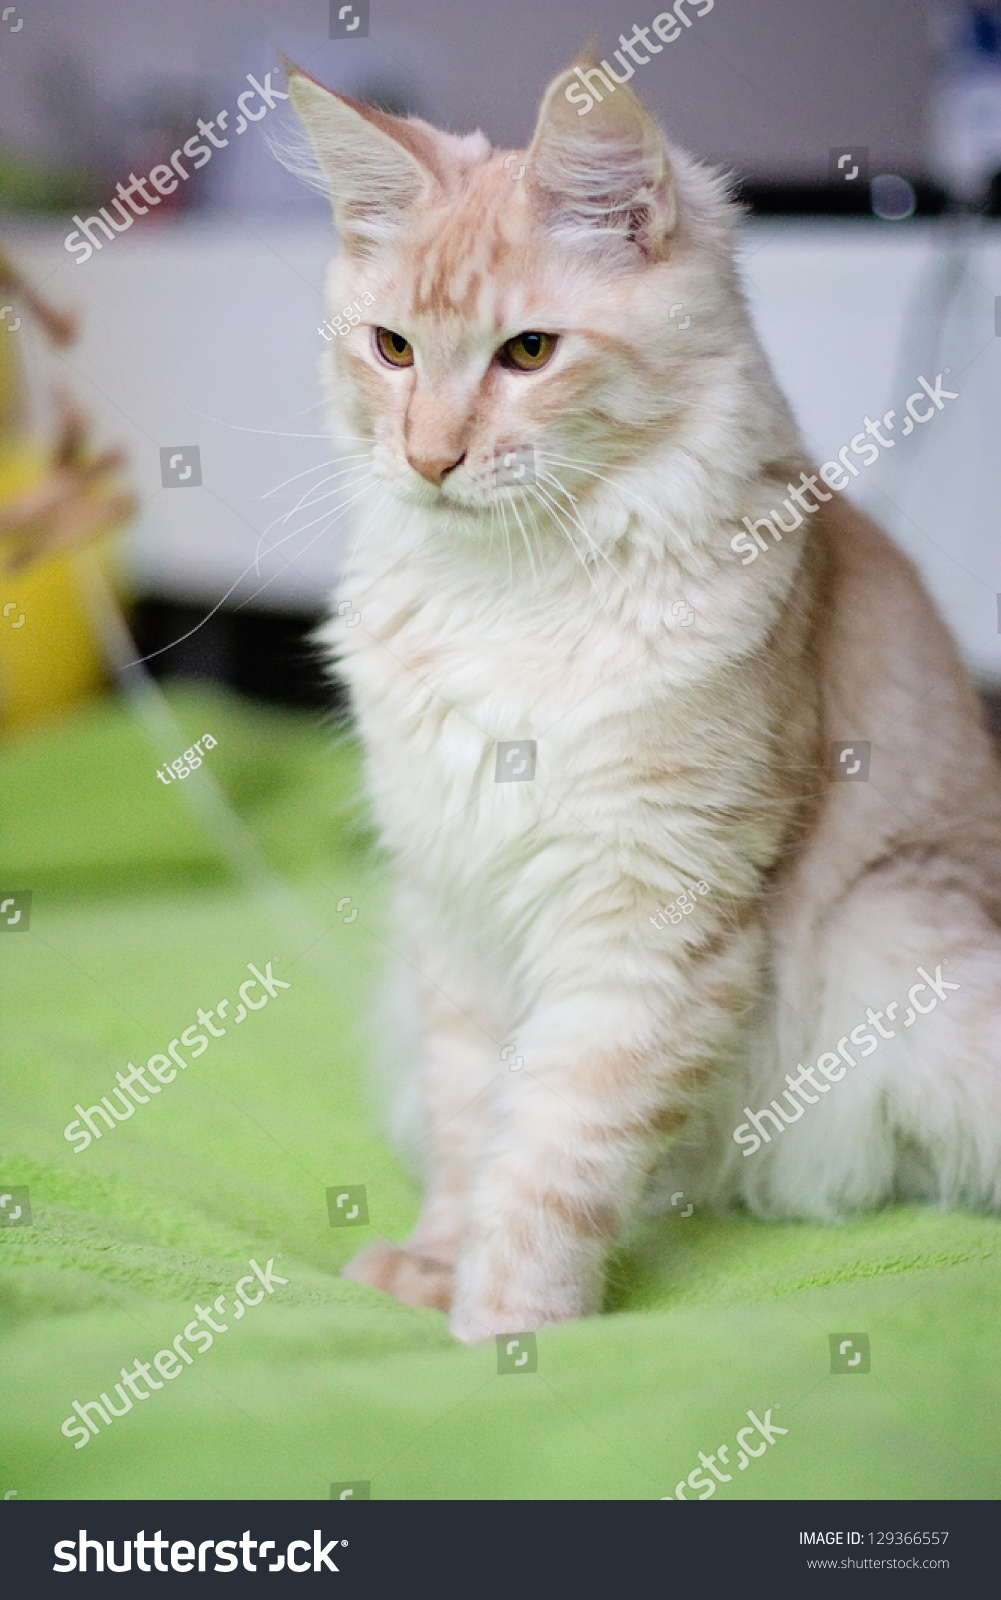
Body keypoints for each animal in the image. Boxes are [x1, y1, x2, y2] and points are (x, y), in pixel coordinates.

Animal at [284, 59, 997, 1337]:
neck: (510, 592)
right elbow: (474, 1127)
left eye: (526, 352)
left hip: (899, 933)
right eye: (392, 349)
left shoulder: (649, 923)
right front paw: (435, 1266)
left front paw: (503, 1327)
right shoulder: (456, 915)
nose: (427, 458)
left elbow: (555, 1153)